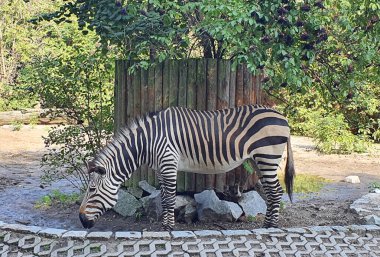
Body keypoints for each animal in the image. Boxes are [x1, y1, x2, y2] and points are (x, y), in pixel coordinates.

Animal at [78, 104, 296, 228]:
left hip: (267, 156)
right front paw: (165, 225)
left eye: (92, 190)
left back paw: (270, 227)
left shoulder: (168, 163)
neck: (146, 143)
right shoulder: (161, 168)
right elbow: (164, 198)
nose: (81, 221)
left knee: (276, 191)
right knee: (271, 191)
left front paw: (168, 228)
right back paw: (267, 223)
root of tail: (282, 116)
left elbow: (169, 199)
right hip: (259, 160)